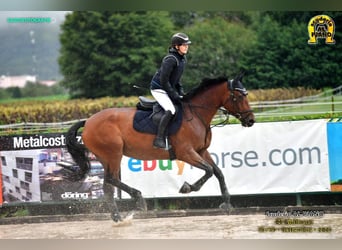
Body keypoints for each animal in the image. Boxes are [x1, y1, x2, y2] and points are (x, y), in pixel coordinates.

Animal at [65, 73, 255, 222]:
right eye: (239, 97)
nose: (251, 120)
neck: (196, 114)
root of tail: (88, 121)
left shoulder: (201, 151)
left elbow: (218, 172)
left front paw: (227, 203)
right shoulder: (186, 152)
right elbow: (208, 170)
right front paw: (187, 188)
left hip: (107, 157)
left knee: (108, 185)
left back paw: (118, 217)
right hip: (113, 154)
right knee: (111, 180)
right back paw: (139, 200)